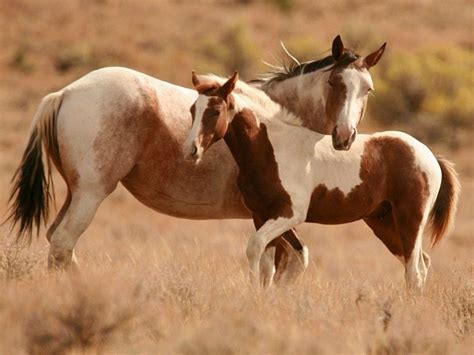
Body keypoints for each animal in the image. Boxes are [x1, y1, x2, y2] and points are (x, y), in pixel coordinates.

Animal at [6, 36, 386, 280]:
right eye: (335, 82)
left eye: (367, 89)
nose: (344, 137)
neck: (276, 124)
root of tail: (65, 93)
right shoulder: (272, 216)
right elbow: (282, 265)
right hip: (90, 194)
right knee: (62, 244)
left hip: (76, 193)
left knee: (58, 244)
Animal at [184, 72, 460, 292]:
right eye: (192, 110)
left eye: (215, 111)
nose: (191, 150)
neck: (271, 148)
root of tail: (429, 155)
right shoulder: (262, 215)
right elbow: (269, 261)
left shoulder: (290, 214)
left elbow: (255, 247)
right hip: (384, 223)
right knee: (421, 264)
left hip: (410, 220)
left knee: (414, 271)